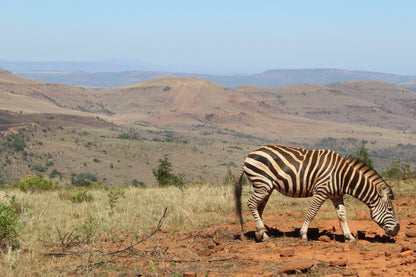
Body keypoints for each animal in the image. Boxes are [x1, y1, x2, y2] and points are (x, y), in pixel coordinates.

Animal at [234, 144, 400, 242]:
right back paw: (261, 231)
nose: (397, 230)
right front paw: (303, 235)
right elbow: (311, 213)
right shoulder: (321, 191)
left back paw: (262, 235)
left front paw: (350, 237)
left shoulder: (336, 195)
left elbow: (342, 216)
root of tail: (249, 155)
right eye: (390, 209)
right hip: (262, 184)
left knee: (259, 207)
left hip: (266, 188)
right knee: (251, 203)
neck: (343, 176)